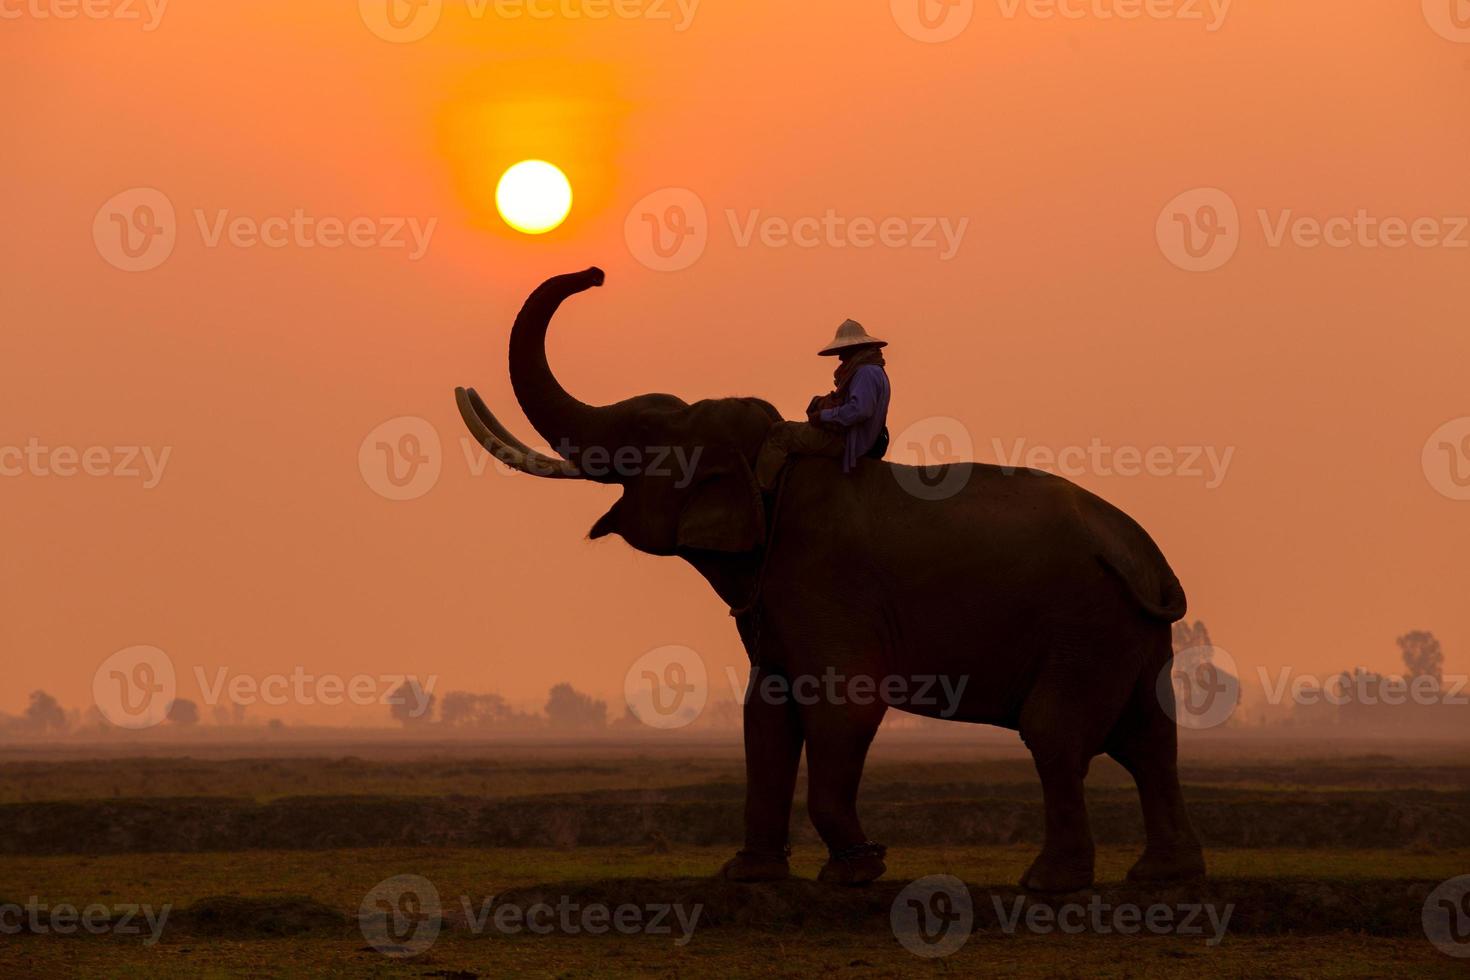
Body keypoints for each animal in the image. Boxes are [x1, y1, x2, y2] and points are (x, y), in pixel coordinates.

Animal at [458, 264, 1205, 893]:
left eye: (640, 436)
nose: (595, 274)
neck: (771, 461)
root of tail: (1146, 556)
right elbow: (765, 714)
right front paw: (749, 875)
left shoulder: (824, 581)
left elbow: (841, 705)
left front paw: (856, 872)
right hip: (1126, 633)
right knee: (1148, 740)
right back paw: (1160, 876)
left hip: (1085, 624)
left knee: (1057, 732)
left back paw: (1049, 884)